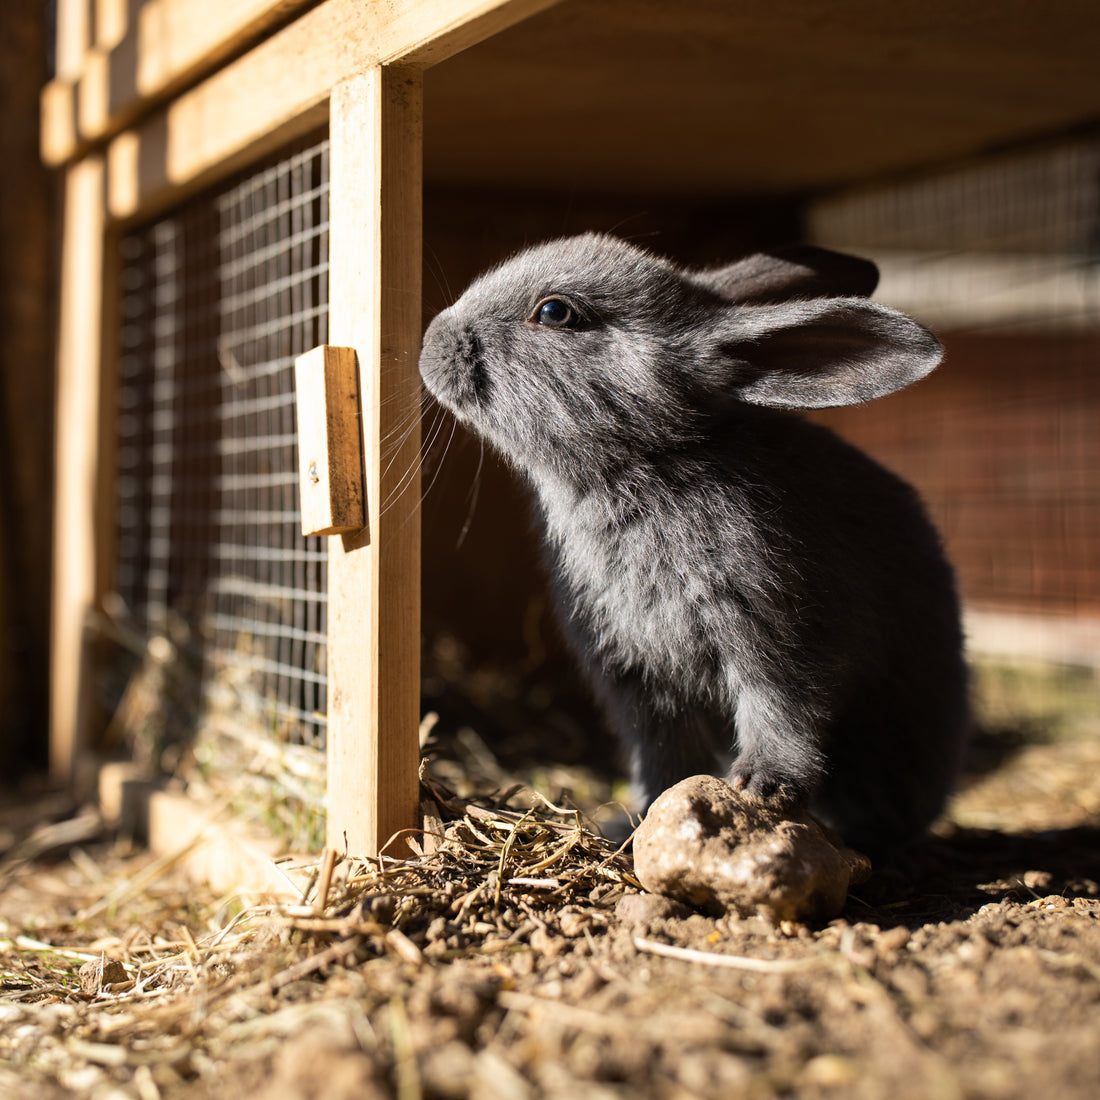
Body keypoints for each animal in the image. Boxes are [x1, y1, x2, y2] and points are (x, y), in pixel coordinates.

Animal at [415, 234, 968, 858]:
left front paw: (762, 786)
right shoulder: (639, 686)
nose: (431, 341)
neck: (642, 464)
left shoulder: (778, 638)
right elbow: (664, 759)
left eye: (556, 313)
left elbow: (783, 714)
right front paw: (640, 822)